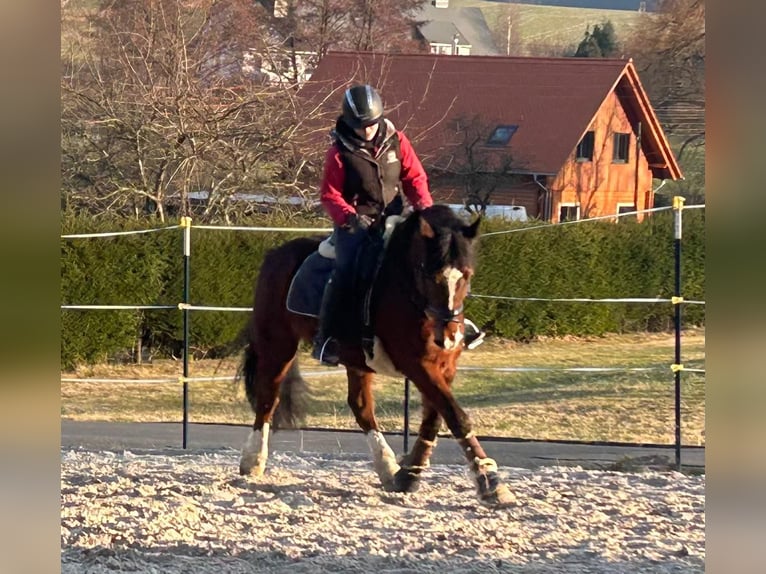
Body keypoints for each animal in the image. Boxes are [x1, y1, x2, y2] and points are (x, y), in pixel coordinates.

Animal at [237, 204, 515, 507]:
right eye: (428, 274)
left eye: (467, 274)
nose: (448, 337)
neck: (408, 289)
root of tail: (276, 254)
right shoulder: (417, 364)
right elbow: (455, 416)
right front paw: (490, 482)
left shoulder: (444, 365)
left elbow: (435, 418)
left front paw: (409, 473)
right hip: (278, 345)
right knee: (268, 398)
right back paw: (252, 460)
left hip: (354, 360)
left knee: (360, 406)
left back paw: (387, 467)